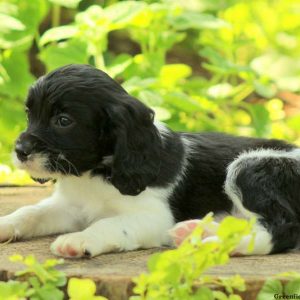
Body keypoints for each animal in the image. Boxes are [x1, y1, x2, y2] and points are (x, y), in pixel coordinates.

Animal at [2, 63, 300, 258]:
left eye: (63, 121)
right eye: (29, 114)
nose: (20, 150)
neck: (97, 173)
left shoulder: (154, 217)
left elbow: (110, 223)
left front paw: (80, 238)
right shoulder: (69, 206)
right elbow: (30, 212)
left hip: (248, 168)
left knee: (283, 228)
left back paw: (214, 245)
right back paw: (197, 232)